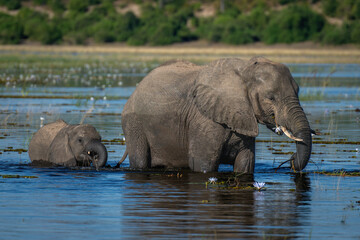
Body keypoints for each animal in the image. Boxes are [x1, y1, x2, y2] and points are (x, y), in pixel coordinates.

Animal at [119, 56, 312, 172]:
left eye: (298, 91)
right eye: (271, 97)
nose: (291, 159)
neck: (244, 70)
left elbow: (246, 163)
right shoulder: (203, 119)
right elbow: (203, 164)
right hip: (133, 123)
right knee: (140, 162)